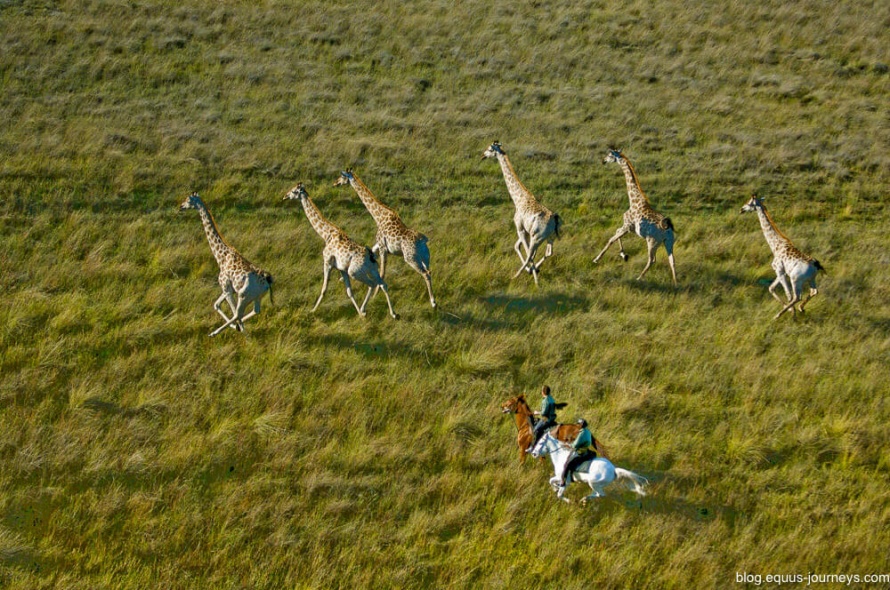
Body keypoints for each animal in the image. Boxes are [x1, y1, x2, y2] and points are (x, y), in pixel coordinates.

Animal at [179, 193, 272, 338]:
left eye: (188, 200)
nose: (181, 206)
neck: (221, 257)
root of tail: (267, 282)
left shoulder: (227, 288)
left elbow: (230, 311)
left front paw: (240, 329)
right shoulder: (227, 288)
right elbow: (216, 304)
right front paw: (238, 327)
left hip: (244, 295)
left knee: (238, 313)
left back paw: (216, 333)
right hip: (257, 296)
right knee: (255, 311)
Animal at [282, 184, 398, 320]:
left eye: (294, 191)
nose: (285, 196)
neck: (326, 234)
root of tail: (370, 257)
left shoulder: (327, 262)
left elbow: (324, 288)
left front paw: (313, 310)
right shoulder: (342, 268)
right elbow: (349, 292)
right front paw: (359, 312)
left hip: (354, 272)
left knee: (372, 284)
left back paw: (364, 311)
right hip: (373, 270)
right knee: (383, 284)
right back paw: (393, 313)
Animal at [332, 169, 436, 310]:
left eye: (342, 176)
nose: (335, 183)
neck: (379, 216)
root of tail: (422, 240)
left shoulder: (383, 247)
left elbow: (382, 272)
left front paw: (376, 294)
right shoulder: (380, 244)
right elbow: (372, 251)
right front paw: (343, 278)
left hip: (411, 258)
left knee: (425, 274)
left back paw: (433, 302)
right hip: (426, 257)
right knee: (429, 271)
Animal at [482, 141, 560, 284]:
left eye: (490, 149)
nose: (483, 155)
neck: (519, 199)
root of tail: (555, 221)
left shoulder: (520, 228)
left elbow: (525, 250)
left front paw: (531, 272)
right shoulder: (525, 230)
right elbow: (517, 246)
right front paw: (532, 270)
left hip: (537, 238)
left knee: (531, 253)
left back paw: (522, 278)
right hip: (549, 238)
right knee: (549, 252)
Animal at [592, 149, 676, 286]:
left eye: (610, 155)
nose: (603, 161)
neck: (633, 199)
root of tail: (667, 229)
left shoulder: (627, 225)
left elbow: (611, 239)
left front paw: (596, 259)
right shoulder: (629, 228)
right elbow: (616, 234)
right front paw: (624, 255)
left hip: (652, 242)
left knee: (652, 260)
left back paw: (639, 278)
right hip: (668, 242)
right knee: (672, 261)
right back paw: (675, 283)